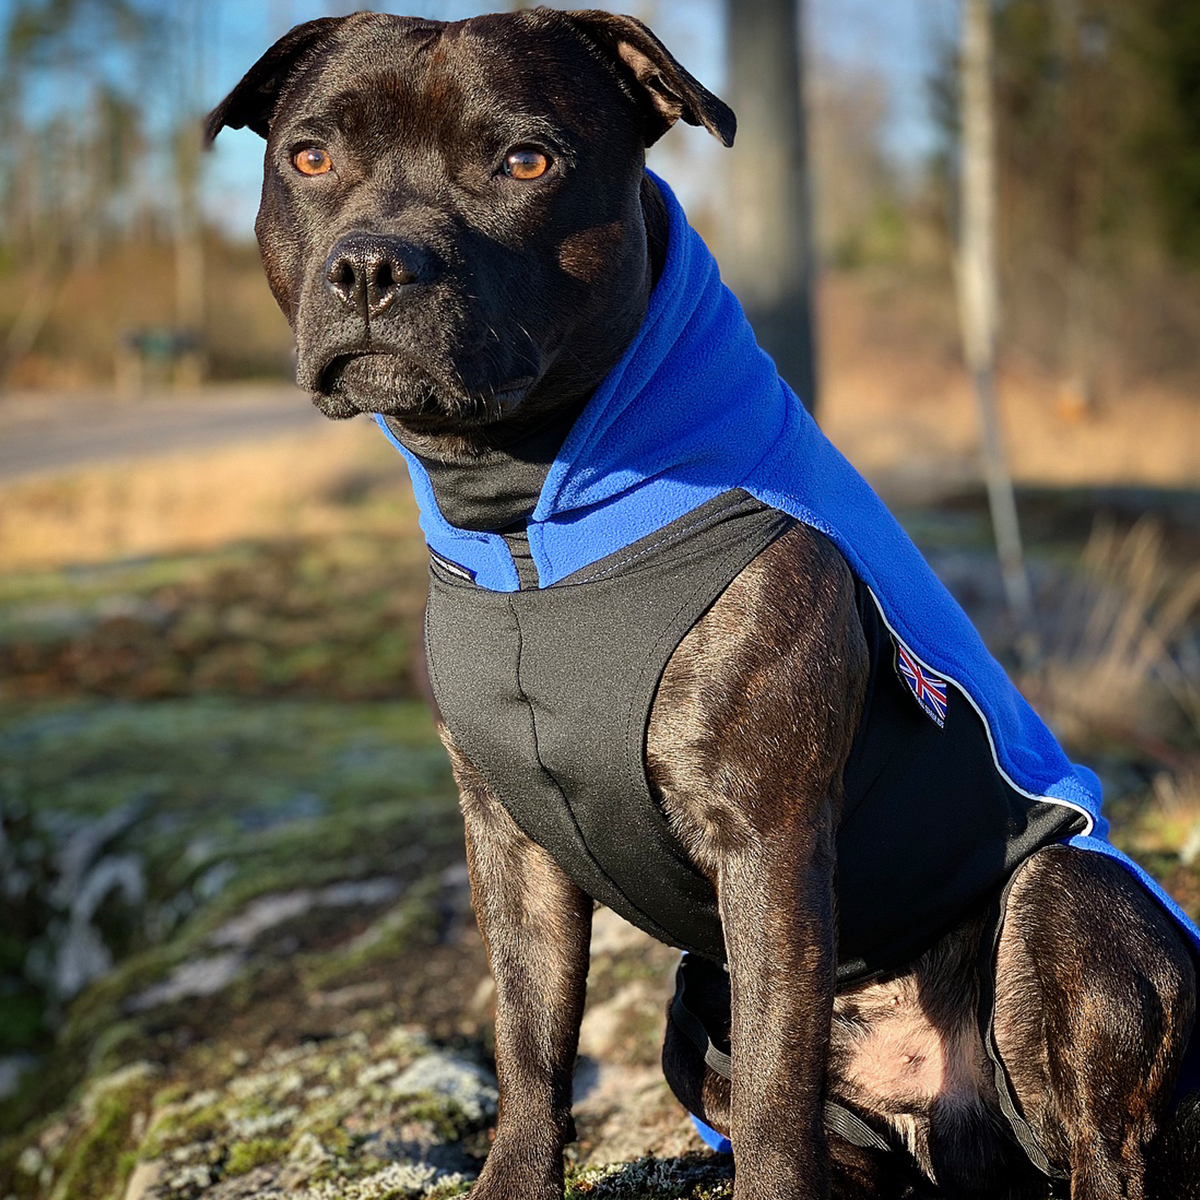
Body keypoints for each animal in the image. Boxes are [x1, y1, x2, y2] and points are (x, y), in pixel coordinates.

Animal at [206, 11, 1200, 1200]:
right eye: (309, 157)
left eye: (526, 162)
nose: (368, 264)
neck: (526, 522)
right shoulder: (510, 843)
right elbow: (530, 1044)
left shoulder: (766, 840)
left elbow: (774, 1088)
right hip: (699, 1009)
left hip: (1069, 905)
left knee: (1100, 1131)